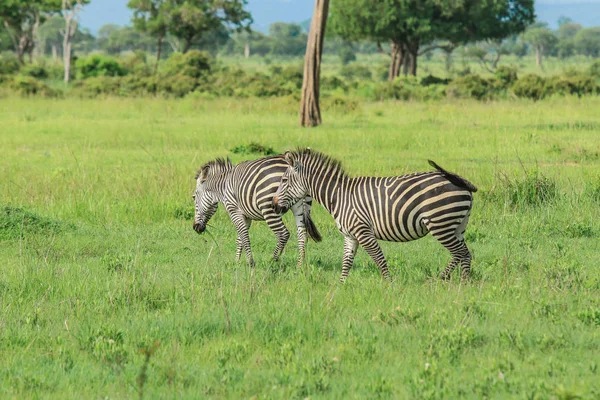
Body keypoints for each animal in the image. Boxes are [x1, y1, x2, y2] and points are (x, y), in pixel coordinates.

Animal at [274, 148, 478, 282]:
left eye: (283, 180)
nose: (274, 205)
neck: (338, 196)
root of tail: (462, 182)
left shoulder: (363, 232)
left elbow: (379, 259)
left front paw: (389, 286)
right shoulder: (350, 236)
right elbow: (346, 263)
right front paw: (340, 288)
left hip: (440, 224)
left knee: (461, 253)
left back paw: (458, 283)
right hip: (457, 227)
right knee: (462, 254)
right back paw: (448, 280)